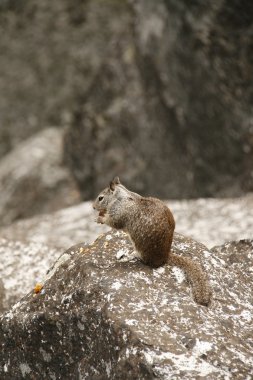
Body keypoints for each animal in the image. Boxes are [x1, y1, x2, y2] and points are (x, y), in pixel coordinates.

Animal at [93, 176, 211, 306]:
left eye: (100, 198)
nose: (93, 207)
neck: (120, 196)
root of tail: (165, 257)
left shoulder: (118, 212)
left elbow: (113, 223)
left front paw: (100, 218)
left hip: (140, 247)